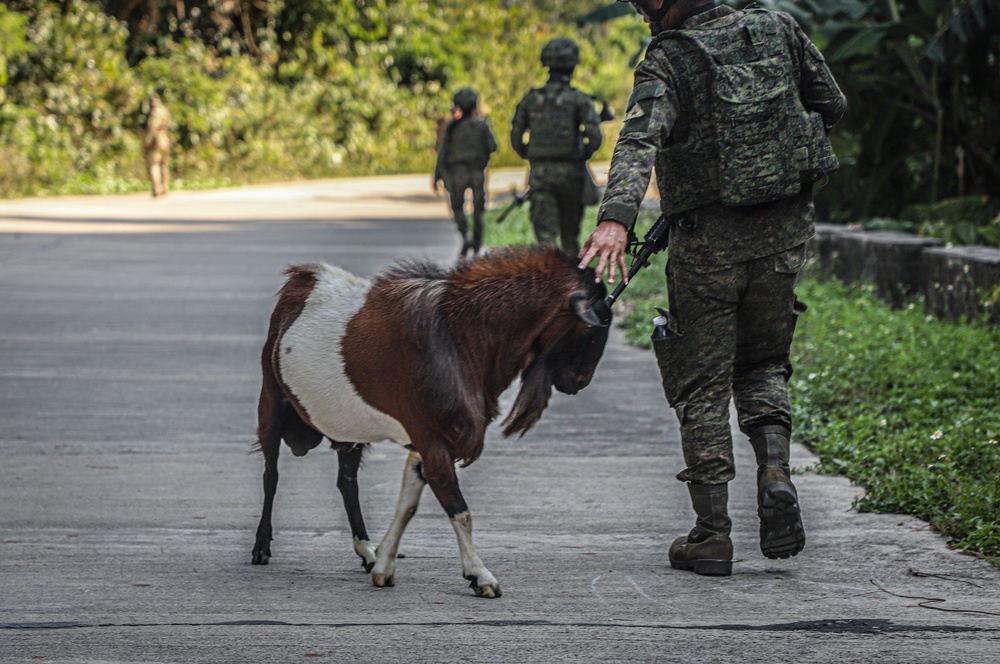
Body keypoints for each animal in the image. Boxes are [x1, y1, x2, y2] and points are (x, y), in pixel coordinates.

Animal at [250, 245, 608, 596]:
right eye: (594, 327)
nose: (579, 381)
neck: (459, 334)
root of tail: (300, 283)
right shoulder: (430, 435)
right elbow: (459, 510)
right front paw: (480, 575)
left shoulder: (428, 438)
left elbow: (408, 502)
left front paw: (383, 566)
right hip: (270, 399)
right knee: (271, 475)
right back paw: (261, 547)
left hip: (348, 427)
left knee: (347, 482)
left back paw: (366, 550)